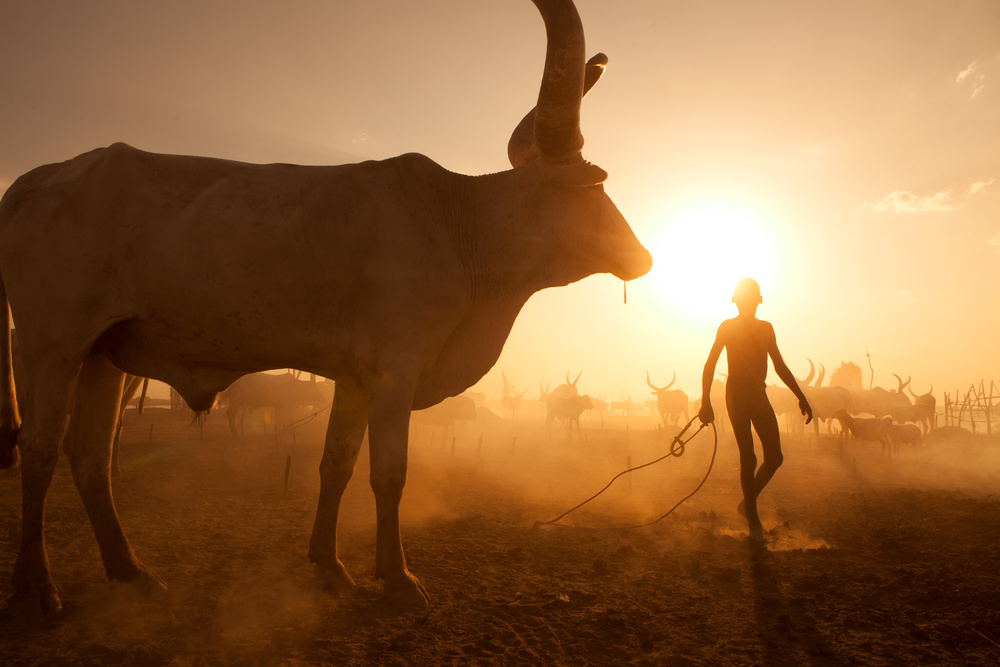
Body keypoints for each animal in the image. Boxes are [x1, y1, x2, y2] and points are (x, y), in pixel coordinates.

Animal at [0, 0, 652, 614]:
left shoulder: (353, 377)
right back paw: (36, 588)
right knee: (39, 450)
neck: (458, 222)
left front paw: (328, 566)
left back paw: (130, 572)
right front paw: (397, 578)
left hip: (104, 354)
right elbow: (389, 474)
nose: (641, 257)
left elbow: (334, 464)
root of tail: (34, 180)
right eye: (597, 186)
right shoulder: (394, 370)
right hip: (51, 344)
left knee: (89, 456)